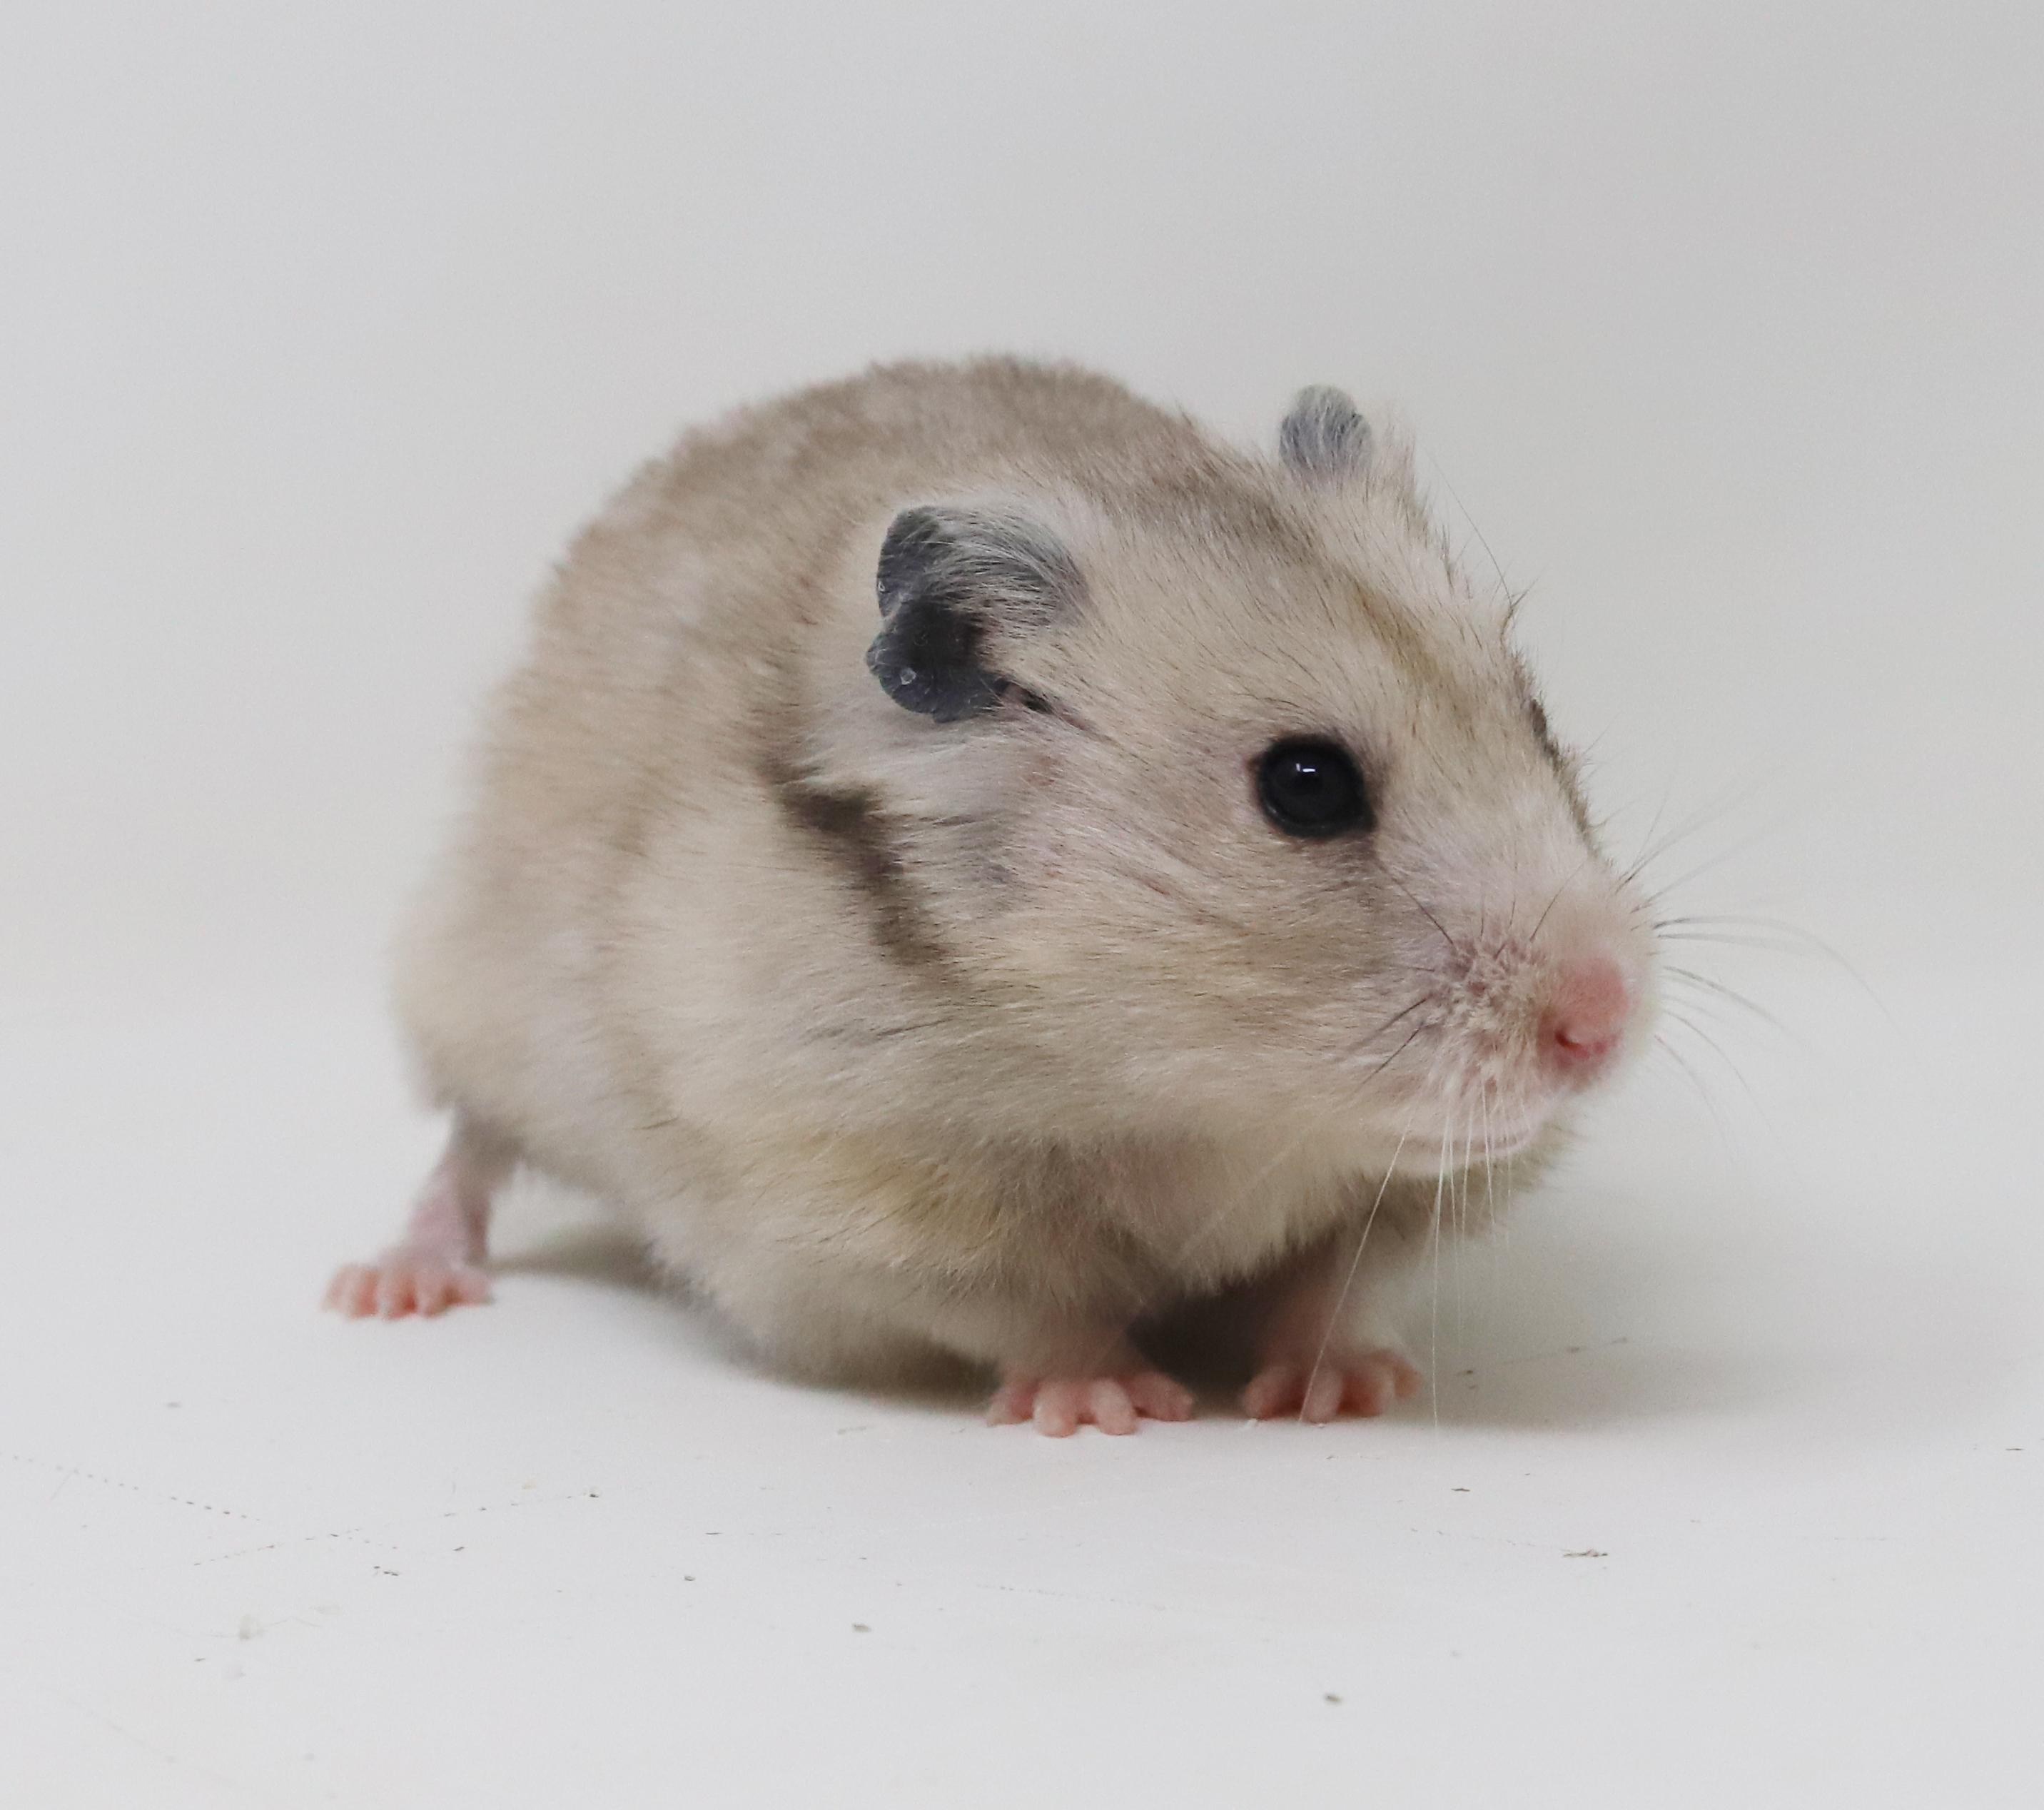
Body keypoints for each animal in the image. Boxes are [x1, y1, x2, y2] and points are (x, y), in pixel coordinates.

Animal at [326, 357, 1657, 1435]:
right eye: (1305, 786)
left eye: (1534, 718)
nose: (1604, 1024)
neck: (1199, 1098)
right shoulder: (855, 1193)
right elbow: (1024, 1307)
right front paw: (1114, 1405)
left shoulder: (1395, 1198)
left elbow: (1330, 1283)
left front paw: (1341, 1391)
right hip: (467, 985)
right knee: (467, 1148)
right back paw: (392, 1288)